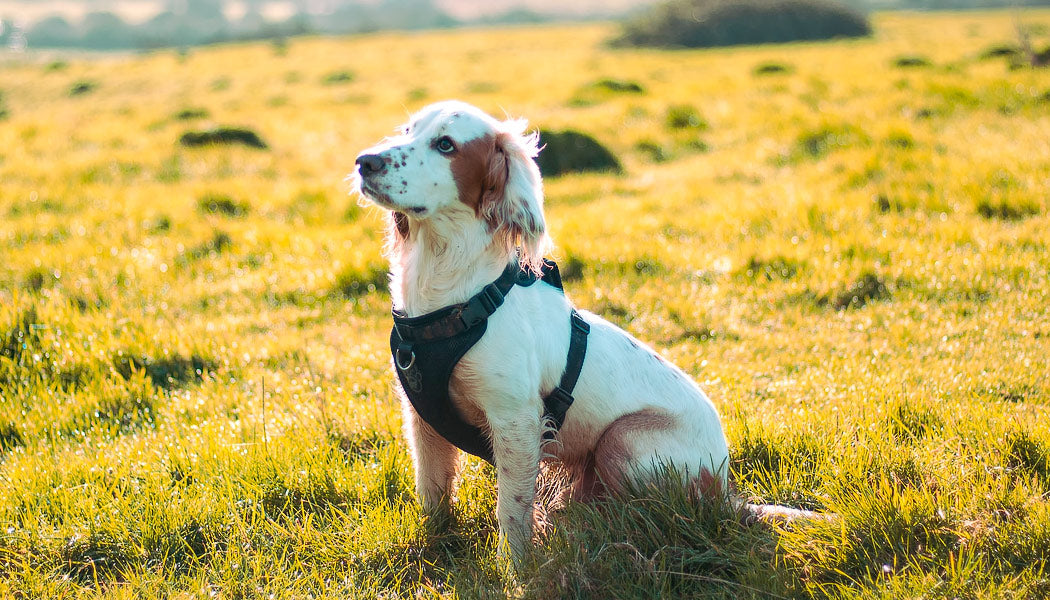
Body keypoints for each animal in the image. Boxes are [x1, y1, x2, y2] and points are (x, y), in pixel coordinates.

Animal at [352, 100, 810, 563]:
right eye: (407, 130)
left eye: (446, 144)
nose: (364, 161)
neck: (452, 298)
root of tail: (726, 489)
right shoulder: (422, 421)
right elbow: (433, 495)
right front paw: (433, 548)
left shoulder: (516, 420)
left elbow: (511, 510)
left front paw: (517, 569)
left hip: (623, 441)